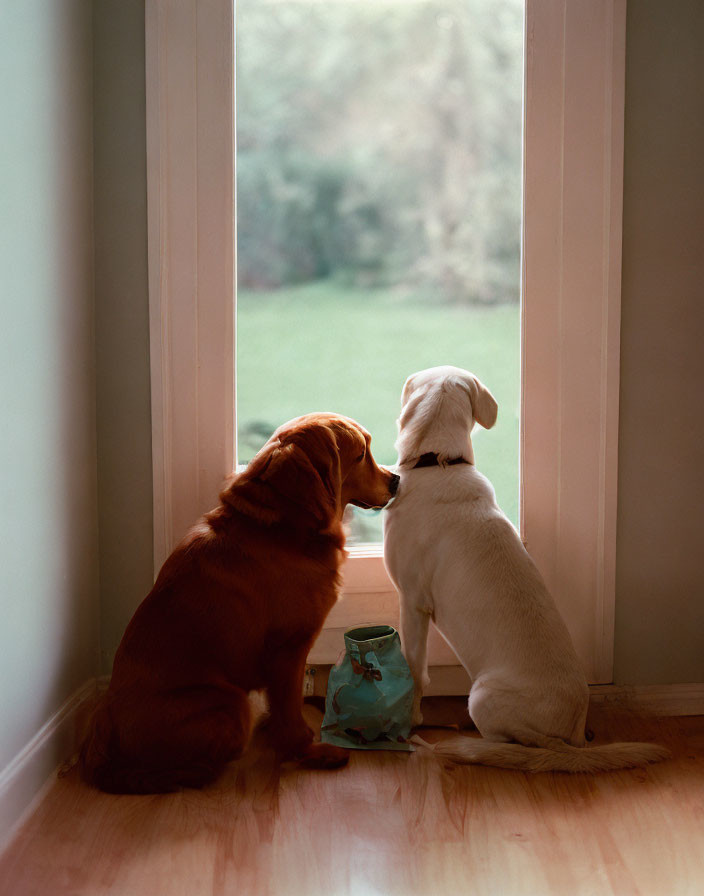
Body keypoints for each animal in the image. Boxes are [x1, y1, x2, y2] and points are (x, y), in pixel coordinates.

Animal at [80, 412, 398, 792]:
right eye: (362, 454)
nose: (396, 480)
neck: (283, 529)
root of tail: (100, 738)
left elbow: (283, 705)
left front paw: (277, 731)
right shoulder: (288, 649)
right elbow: (291, 709)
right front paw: (307, 750)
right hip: (230, 703)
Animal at [382, 368, 668, 772]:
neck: (436, 461)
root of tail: (573, 735)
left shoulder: (412, 602)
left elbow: (415, 670)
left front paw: (409, 721)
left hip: (481, 696)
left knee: (519, 745)